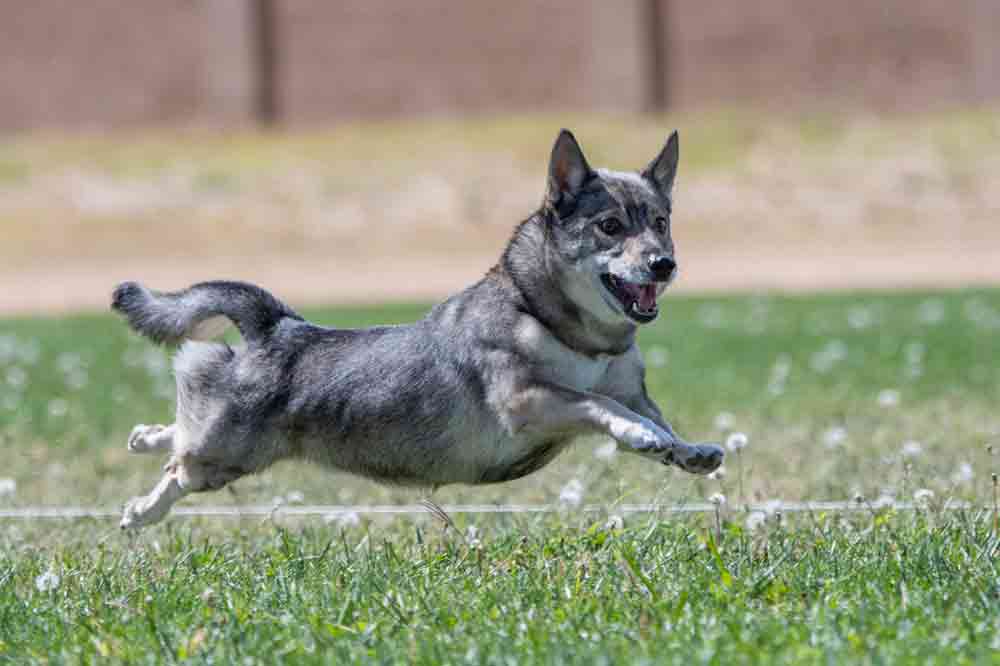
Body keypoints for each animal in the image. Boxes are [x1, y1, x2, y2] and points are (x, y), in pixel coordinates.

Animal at [113, 127, 724, 528]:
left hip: (225, 445)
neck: (567, 330)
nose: (664, 264)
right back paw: (141, 511)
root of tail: (278, 327)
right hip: (224, 454)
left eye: (661, 223)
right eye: (610, 226)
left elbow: (654, 418)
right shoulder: (528, 399)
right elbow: (603, 406)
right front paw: (640, 435)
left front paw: (685, 449)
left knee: (179, 431)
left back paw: (143, 436)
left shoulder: (629, 389)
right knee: (179, 464)